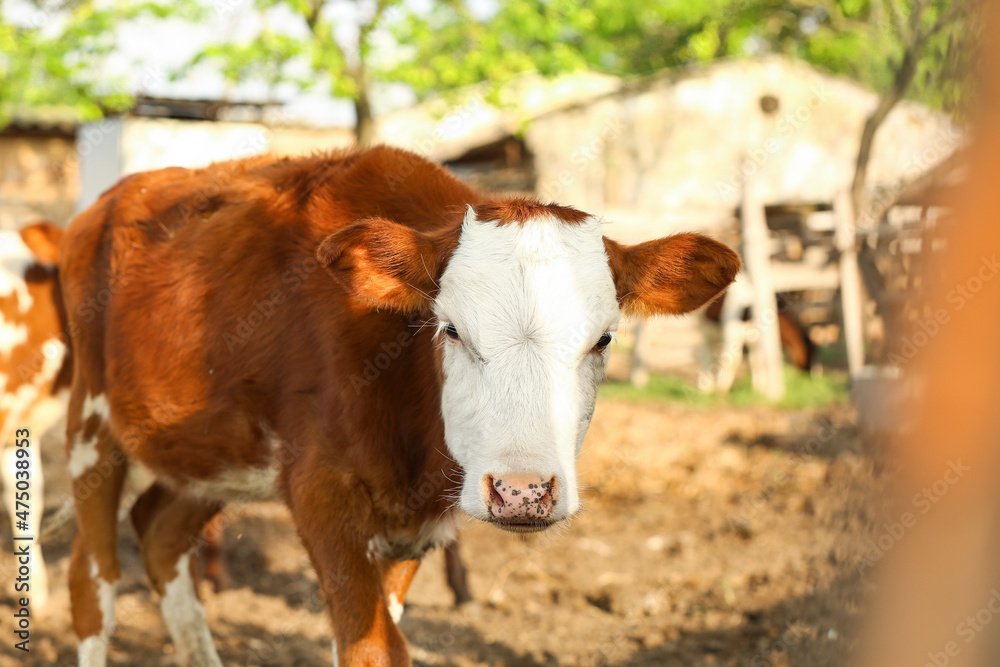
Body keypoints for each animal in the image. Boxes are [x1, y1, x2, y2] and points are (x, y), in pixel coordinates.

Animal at [56, 145, 744, 664]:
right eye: (452, 330)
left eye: (603, 339)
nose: (523, 492)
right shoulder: (323, 494)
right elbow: (371, 649)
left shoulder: (413, 524)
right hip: (92, 425)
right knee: (93, 585)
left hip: (213, 454)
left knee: (159, 533)